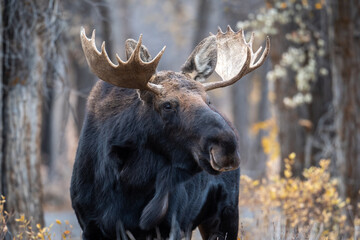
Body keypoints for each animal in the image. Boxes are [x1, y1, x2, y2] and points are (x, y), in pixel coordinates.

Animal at [70, 25, 268, 239]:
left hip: (225, 213)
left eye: (208, 100)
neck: (130, 182)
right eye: (167, 105)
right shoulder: (90, 225)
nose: (227, 147)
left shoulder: (172, 225)